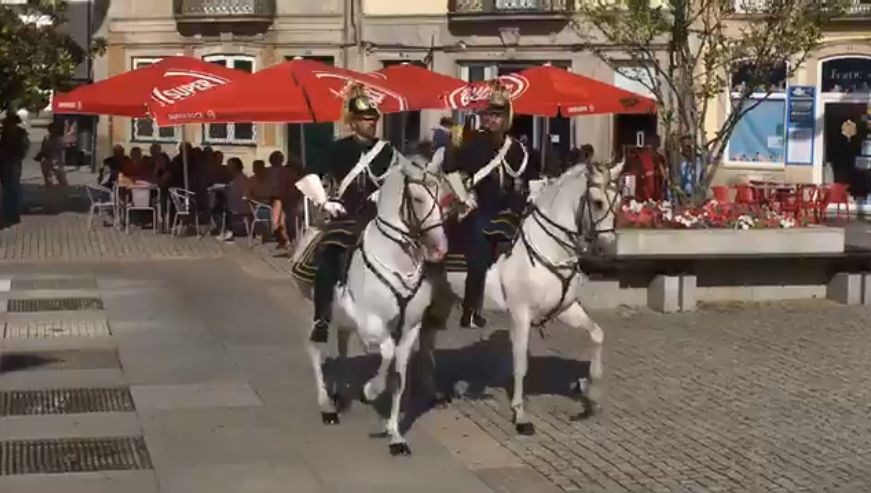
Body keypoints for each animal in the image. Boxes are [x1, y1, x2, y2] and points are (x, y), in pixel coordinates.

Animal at [292, 156, 450, 456]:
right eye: (417, 197)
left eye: (442, 196)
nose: (439, 248)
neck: (396, 259)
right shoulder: (371, 324)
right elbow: (386, 354)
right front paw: (371, 391)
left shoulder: (410, 329)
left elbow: (399, 377)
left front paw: (395, 435)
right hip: (319, 309)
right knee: (315, 347)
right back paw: (327, 406)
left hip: (343, 316)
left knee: (342, 345)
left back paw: (339, 392)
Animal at [420, 161, 620, 434]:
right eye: (598, 202)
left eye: (619, 200)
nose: (609, 249)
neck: (548, 247)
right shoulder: (521, 314)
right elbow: (520, 364)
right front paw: (520, 415)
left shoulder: (565, 308)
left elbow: (597, 334)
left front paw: (592, 393)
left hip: (443, 300)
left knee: (427, 340)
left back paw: (434, 393)